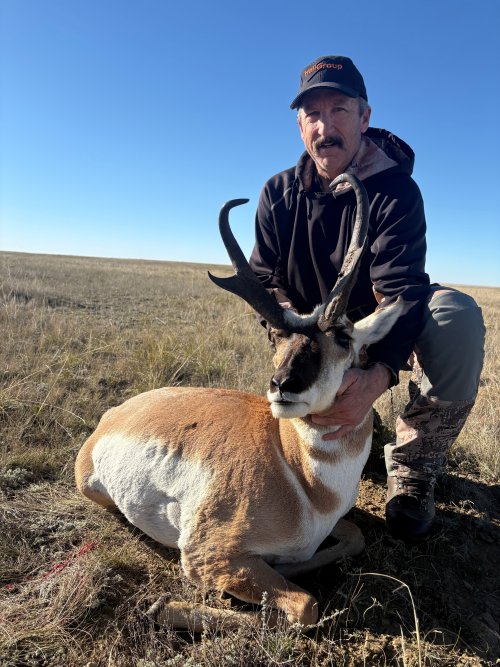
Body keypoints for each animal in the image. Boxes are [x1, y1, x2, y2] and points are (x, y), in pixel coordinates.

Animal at [75, 173, 403, 630]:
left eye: (342, 337)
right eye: (277, 336)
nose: (282, 385)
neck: (299, 476)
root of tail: (114, 415)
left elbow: (353, 538)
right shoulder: (206, 555)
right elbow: (304, 606)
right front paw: (165, 607)